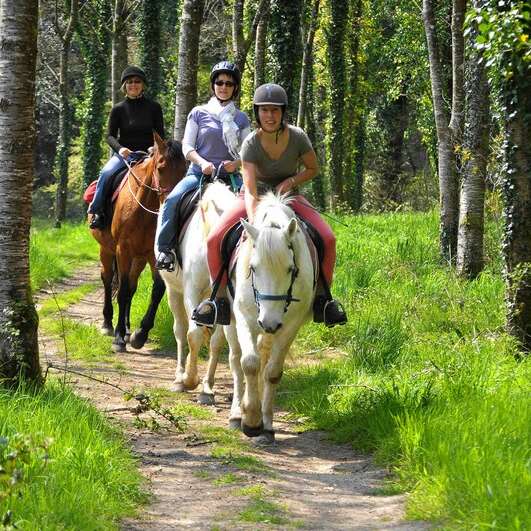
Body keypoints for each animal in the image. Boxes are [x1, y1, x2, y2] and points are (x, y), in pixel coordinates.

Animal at [89, 131, 185, 352]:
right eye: (160, 168)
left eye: (185, 170)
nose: (173, 203)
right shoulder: (123, 249)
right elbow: (122, 290)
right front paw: (118, 338)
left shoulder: (153, 253)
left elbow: (156, 290)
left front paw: (139, 334)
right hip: (107, 250)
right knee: (108, 279)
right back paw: (108, 324)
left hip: (138, 258)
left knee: (132, 286)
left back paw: (127, 328)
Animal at [157, 181, 238, 406]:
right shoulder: (191, 292)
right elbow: (193, 335)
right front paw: (189, 380)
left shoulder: (223, 304)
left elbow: (216, 341)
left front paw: (207, 388)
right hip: (173, 292)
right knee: (180, 330)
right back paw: (179, 377)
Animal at [229, 193, 316, 442]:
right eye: (253, 268)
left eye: (291, 269)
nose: (268, 322)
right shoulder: (244, 318)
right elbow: (248, 363)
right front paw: (250, 421)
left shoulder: (289, 326)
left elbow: (272, 372)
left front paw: (264, 424)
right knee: (235, 359)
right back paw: (236, 413)